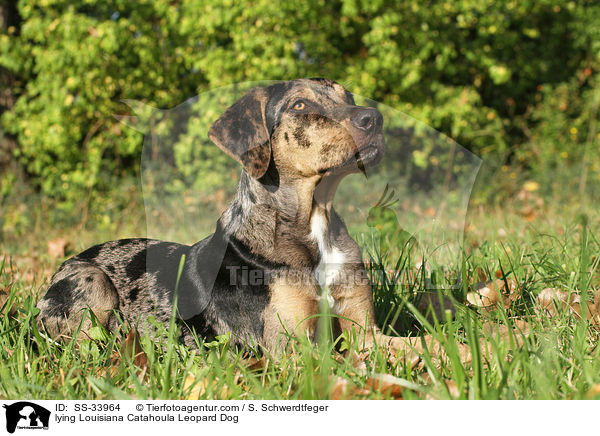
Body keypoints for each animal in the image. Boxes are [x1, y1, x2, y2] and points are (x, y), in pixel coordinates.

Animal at [36, 77, 418, 358]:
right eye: (300, 105)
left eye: (348, 96)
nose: (374, 118)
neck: (314, 222)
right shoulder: (289, 346)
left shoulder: (366, 331)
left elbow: (422, 345)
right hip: (91, 282)